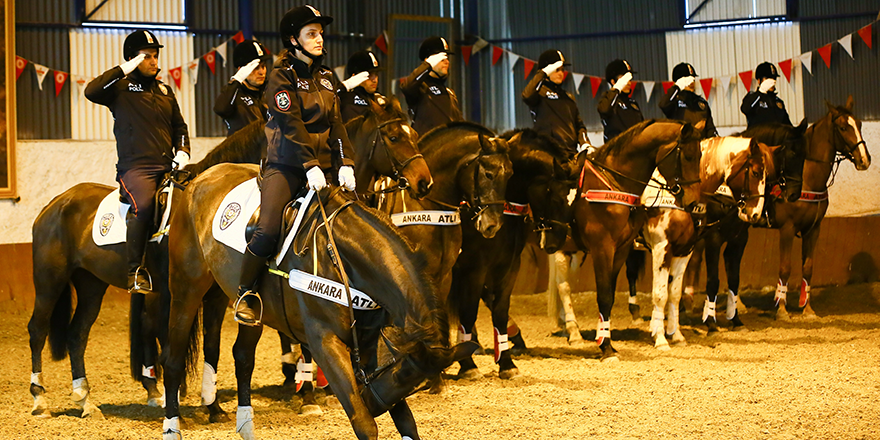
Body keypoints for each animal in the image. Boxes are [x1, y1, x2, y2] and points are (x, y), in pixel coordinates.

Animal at [28, 119, 264, 420]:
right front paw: (172, 401)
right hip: (50, 280)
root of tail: (55, 204)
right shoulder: (171, 292)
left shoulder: (215, 295)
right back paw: (40, 400)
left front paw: (213, 407)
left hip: (91, 284)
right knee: (37, 330)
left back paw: (85, 401)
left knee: (76, 335)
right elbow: (168, 341)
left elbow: (212, 347)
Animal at [157, 164, 474, 440]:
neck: (341, 257)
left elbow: (407, 422)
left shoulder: (369, 342)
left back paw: (245, 425)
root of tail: (200, 178)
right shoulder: (324, 342)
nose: (374, 404)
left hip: (242, 305)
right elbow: (364, 424)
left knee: (243, 357)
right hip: (187, 287)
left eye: (412, 386)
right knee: (173, 359)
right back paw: (172, 427)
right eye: (401, 375)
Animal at [450, 127, 576, 378]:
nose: (559, 240)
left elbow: (498, 308)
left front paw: (506, 360)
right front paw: (467, 363)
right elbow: (469, 310)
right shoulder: (475, 267)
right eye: (554, 196)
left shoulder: (509, 264)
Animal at [572, 119, 700, 360]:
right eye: (687, 156)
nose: (693, 201)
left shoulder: (683, 252)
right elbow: (658, 294)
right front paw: (660, 338)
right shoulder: (655, 248)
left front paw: (676, 335)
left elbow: (674, 294)